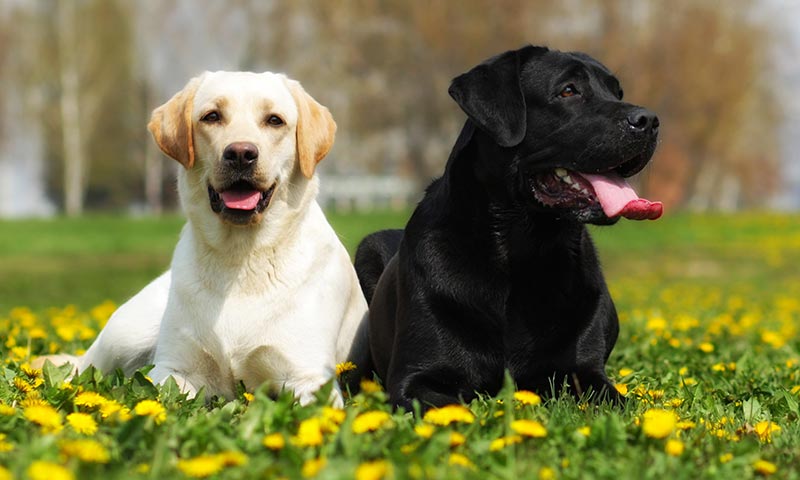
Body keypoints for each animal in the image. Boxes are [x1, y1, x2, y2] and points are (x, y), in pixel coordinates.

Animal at [33, 73, 366, 406]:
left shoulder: (309, 377)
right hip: (124, 335)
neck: (240, 259)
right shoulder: (174, 369)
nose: (241, 153)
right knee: (82, 368)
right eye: (212, 116)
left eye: (275, 120)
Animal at [356, 47, 664, 410]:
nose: (649, 121)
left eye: (617, 93)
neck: (523, 252)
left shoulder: (585, 373)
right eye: (569, 91)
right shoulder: (413, 379)